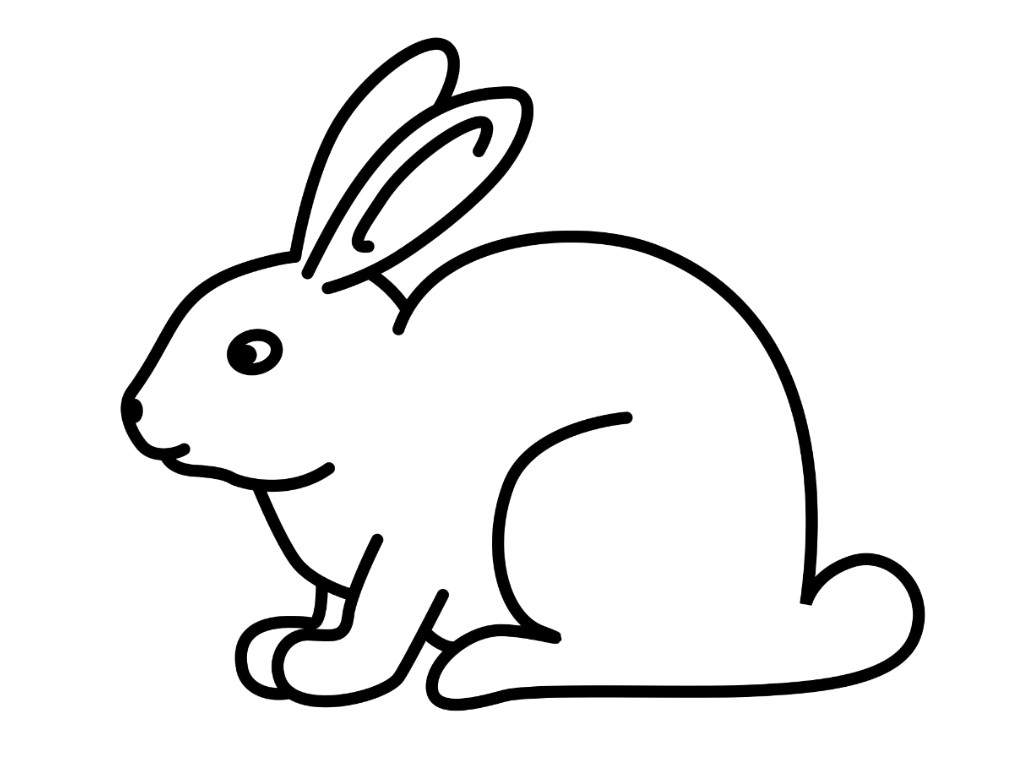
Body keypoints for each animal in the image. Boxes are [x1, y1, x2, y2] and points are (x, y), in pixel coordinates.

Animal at [121, 38, 924, 709]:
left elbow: (383, 622)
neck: (371, 407)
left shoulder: (411, 556)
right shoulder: (341, 578)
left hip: (560, 496)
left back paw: (481, 667)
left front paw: (324, 671)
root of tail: (774, 617)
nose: (136, 415)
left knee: (618, 656)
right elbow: (332, 606)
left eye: (252, 353)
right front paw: (276, 646)